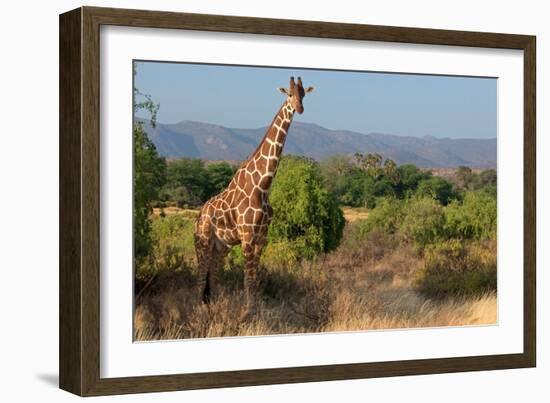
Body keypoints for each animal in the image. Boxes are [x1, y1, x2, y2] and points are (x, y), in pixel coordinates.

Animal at [195, 77, 314, 314]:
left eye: (304, 94)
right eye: (289, 94)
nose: (299, 108)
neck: (263, 186)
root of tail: (199, 216)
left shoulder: (261, 238)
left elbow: (255, 278)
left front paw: (256, 308)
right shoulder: (247, 236)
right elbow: (248, 279)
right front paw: (248, 312)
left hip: (220, 246)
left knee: (214, 273)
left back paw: (216, 304)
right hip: (202, 241)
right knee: (200, 275)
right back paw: (199, 308)